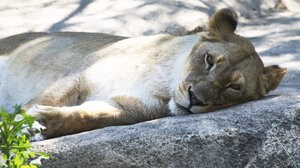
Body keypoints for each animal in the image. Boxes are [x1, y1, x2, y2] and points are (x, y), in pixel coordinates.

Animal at [0, 9, 286, 140]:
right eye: (209, 59)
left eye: (234, 88)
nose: (195, 99)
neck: (163, 76)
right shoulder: (77, 77)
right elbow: (34, 104)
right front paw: (15, 128)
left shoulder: (125, 108)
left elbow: (86, 117)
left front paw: (41, 123)